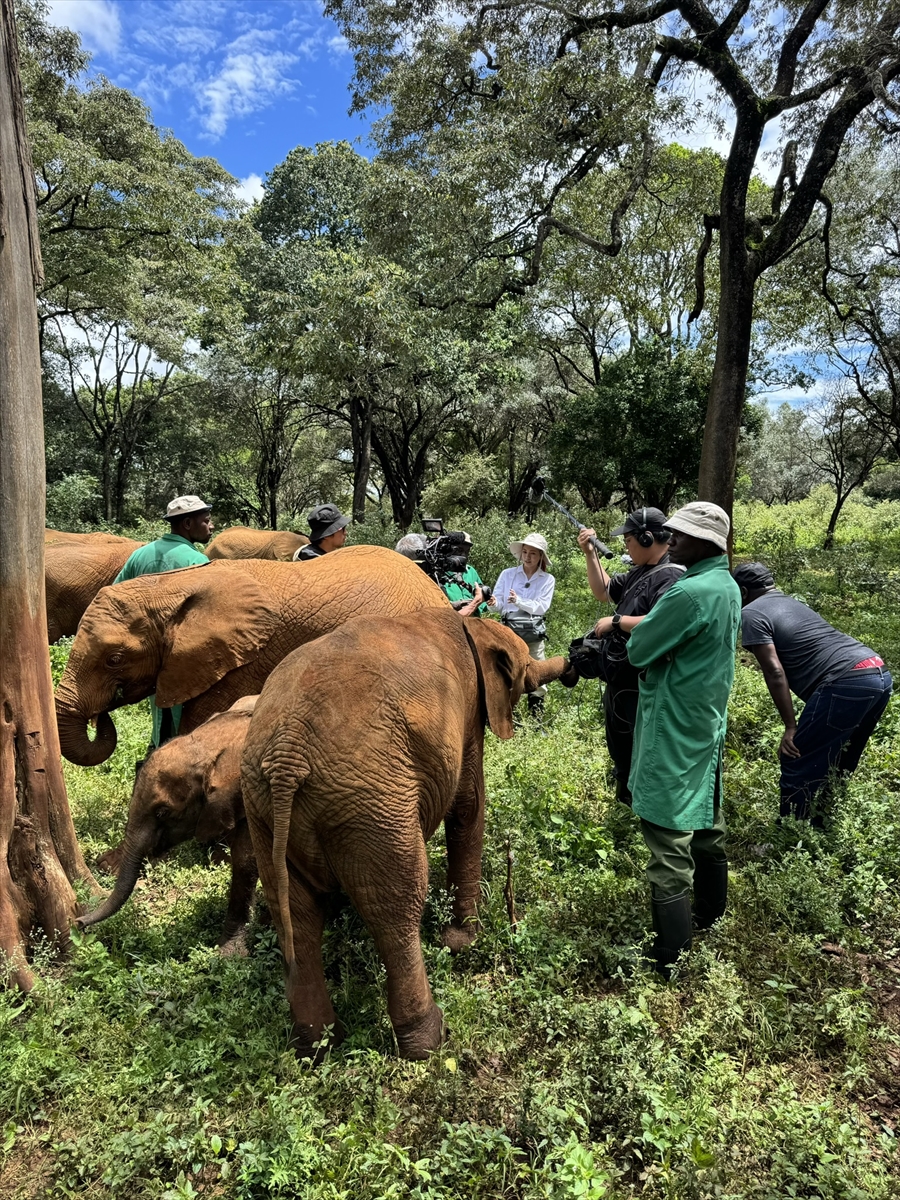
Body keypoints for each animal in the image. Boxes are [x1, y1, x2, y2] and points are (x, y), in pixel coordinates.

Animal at [75, 696, 259, 955]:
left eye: (163, 812)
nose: (78, 922)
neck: (211, 744)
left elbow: (247, 858)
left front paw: (228, 952)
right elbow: (244, 855)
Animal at [243, 609, 566, 1060]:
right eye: (521, 672)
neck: (473, 623)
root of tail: (286, 757)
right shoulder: (468, 713)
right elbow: (468, 804)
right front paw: (464, 942)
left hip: (264, 809)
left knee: (295, 914)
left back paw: (317, 1047)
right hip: (369, 803)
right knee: (395, 908)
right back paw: (428, 1042)